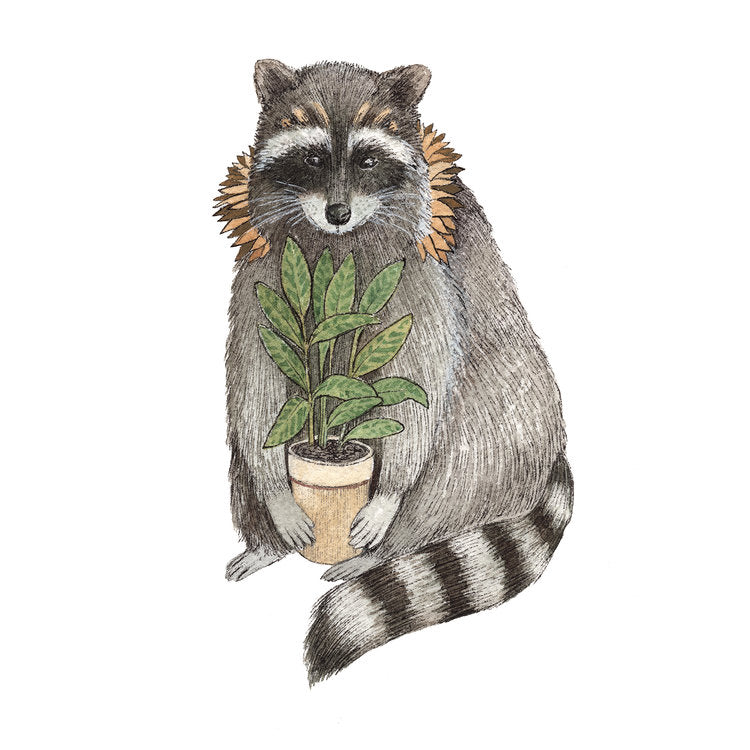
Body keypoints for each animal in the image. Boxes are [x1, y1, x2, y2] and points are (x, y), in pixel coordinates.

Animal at [216, 60, 573, 684]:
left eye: (366, 159)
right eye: (312, 158)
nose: (337, 212)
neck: (334, 239)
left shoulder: (420, 271)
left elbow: (422, 368)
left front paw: (386, 495)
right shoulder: (264, 264)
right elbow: (254, 375)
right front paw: (278, 494)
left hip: (503, 434)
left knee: (452, 463)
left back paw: (384, 552)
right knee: (245, 452)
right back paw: (265, 542)